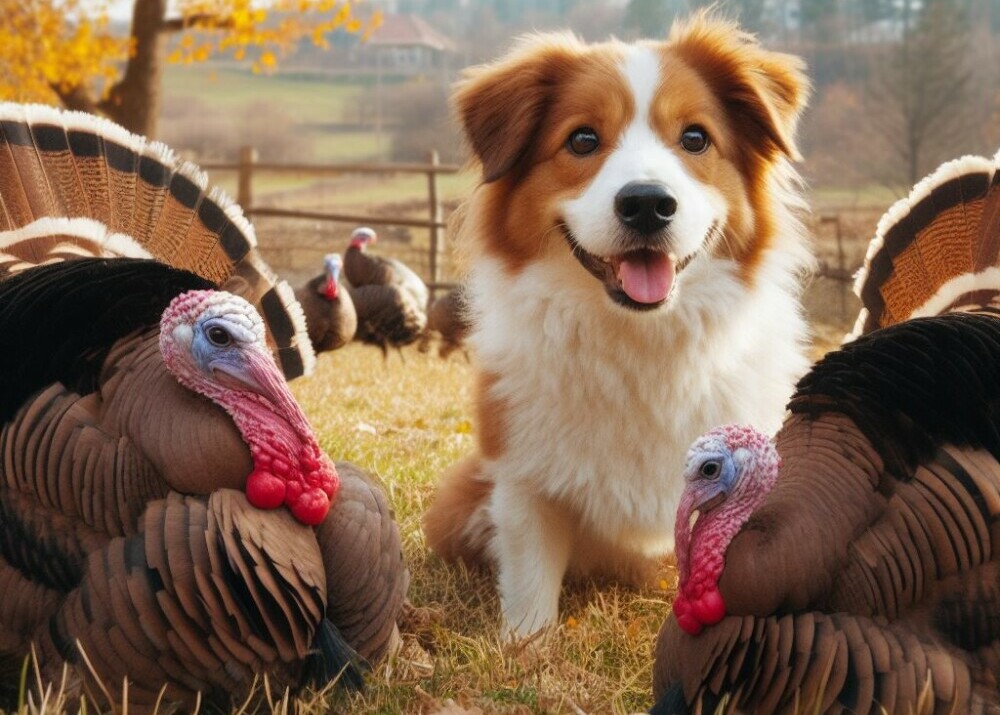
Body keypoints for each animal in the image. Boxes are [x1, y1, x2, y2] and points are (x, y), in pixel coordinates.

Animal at [426, 14, 816, 636]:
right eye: (583, 140)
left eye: (695, 138)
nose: (648, 204)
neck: (641, 339)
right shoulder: (522, 473)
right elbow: (531, 575)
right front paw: (526, 646)